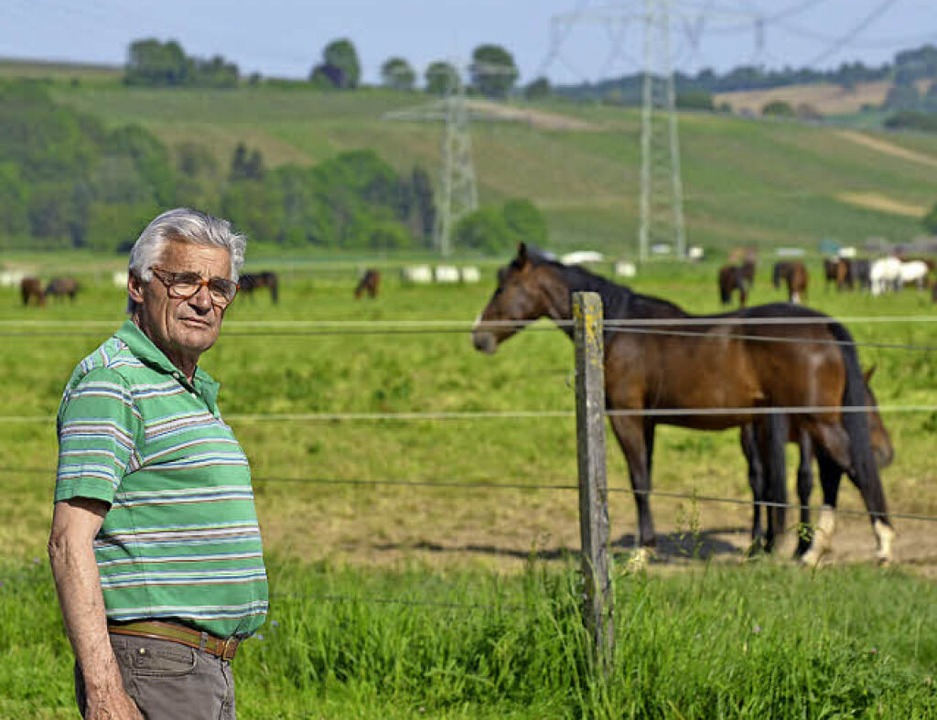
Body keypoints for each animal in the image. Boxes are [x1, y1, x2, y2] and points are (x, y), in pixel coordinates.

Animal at [740, 366, 892, 564]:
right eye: (868, 407)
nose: (887, 454)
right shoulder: (752, 432)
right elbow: (760, 482)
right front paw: (759, 546)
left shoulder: (807, 434)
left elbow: (803, 481)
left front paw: (801, 544)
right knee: (766, 486)